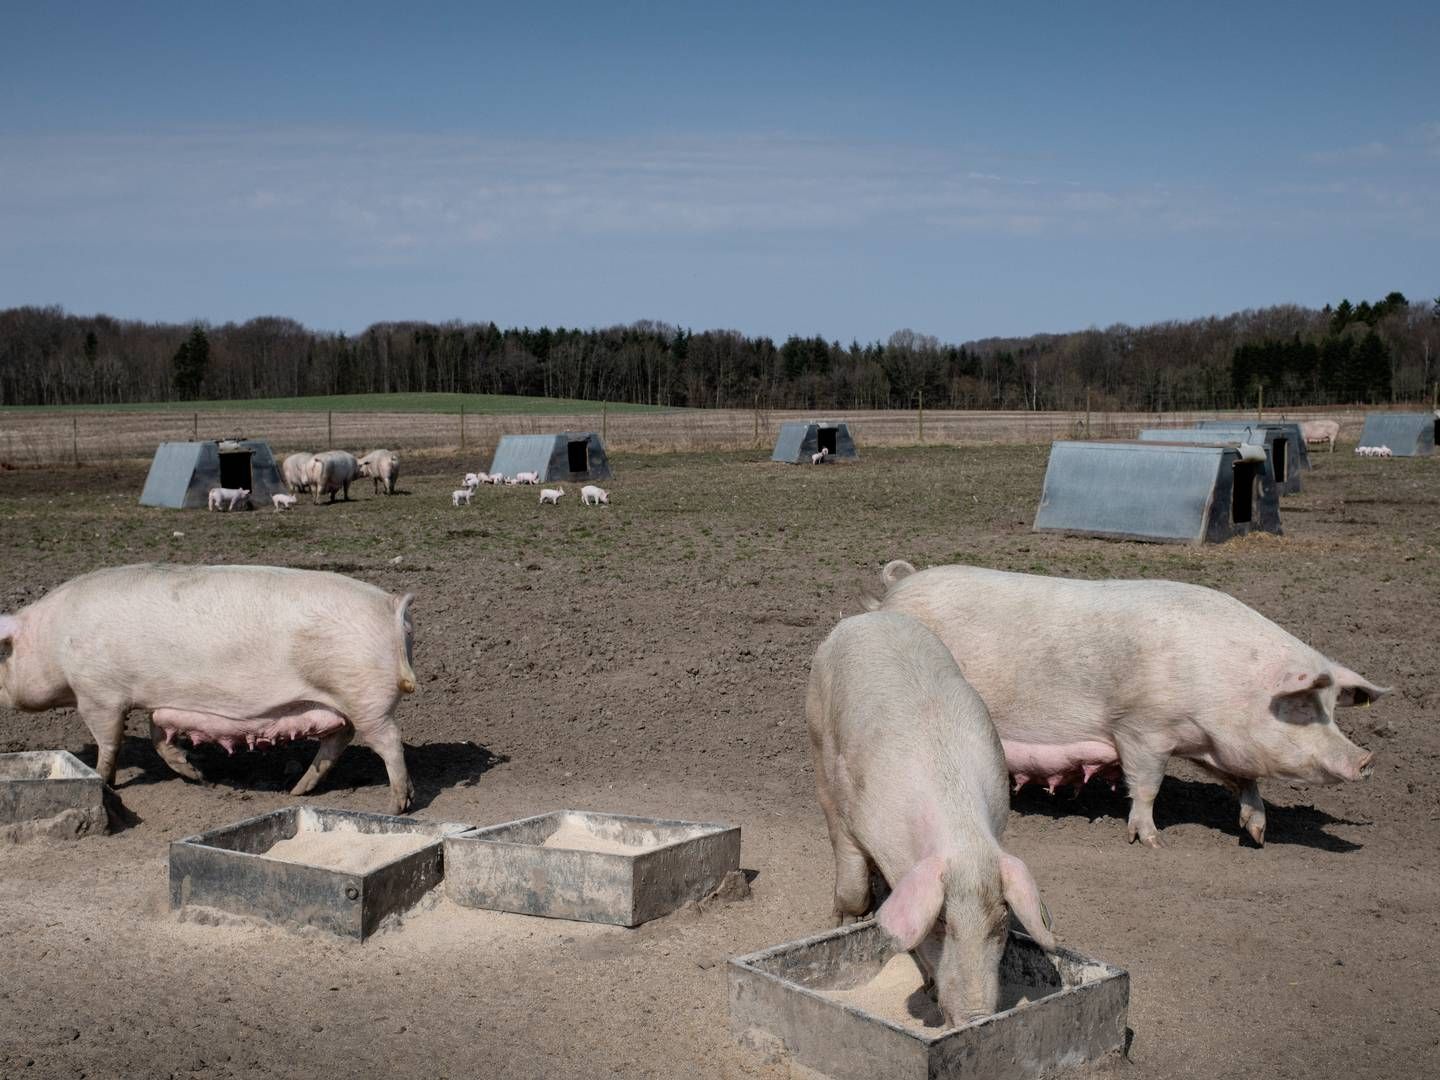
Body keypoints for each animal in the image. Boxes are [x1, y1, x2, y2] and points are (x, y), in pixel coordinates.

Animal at [0, 567, 417, 812]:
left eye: (3, 654)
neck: (53, 639)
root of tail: (391, 606)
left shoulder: (97, 694)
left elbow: (110, 742)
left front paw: (105, 781)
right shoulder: (164, 700)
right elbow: (158, 737)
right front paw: (198, 776)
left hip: (364, 697)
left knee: (389, 740)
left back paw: (398, 805)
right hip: (344, 706)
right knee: (339, 740)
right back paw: (297, 792)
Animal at [812, 613, 1059, 1025]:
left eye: (1001, 921)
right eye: (943, 921)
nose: (976, 1018)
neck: (960, 833)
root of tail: (869, 617)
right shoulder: (850, 815)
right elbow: (852, 883)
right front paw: (846, 923)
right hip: (817, 731)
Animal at [864, 561, 1382, 852]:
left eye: (1333, 709)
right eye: (1303, 707)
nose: (1366, 758)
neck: (1225, 685)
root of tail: (897, 590)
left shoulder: (1207, 743)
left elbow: (1245, 781)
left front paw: (1256, 835)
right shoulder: (1142, 729)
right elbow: (1147, 786)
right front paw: (1152, 842)